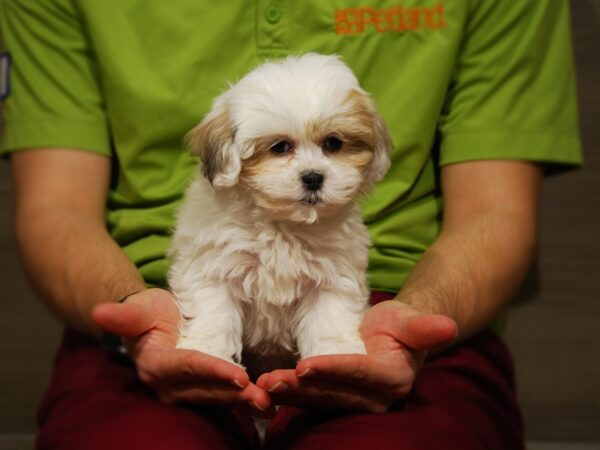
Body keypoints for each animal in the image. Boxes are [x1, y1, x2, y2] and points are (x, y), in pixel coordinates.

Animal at [169, 53, 394, 370]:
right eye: (279, 147)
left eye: (333, 143)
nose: (313, 177)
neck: (281, 223)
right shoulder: (215, 264)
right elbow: (214, 310)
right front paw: (205, 350)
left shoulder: (332, 273)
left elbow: (329, 316)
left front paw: (334, 353)